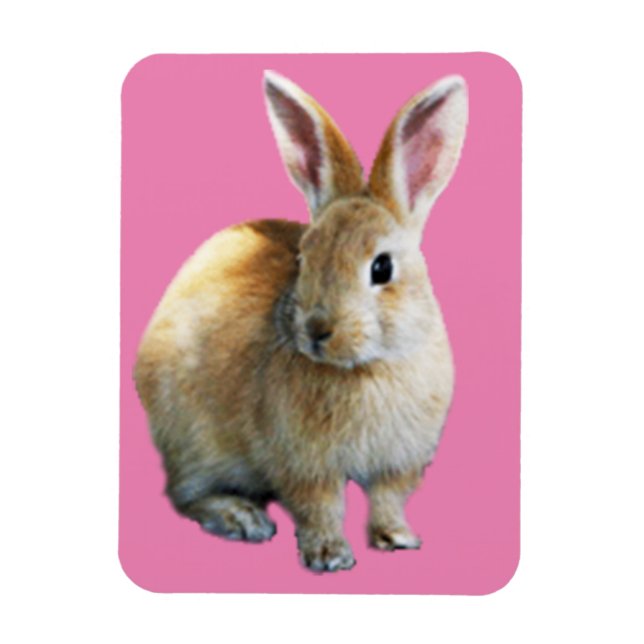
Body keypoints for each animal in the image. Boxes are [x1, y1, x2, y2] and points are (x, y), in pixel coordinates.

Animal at [134, 70, 468, 573]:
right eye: (304, 258)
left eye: (382, 268)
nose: (316, 331)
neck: (366, 369)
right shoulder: (304, 464)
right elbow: (320, 507)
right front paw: (330, 557)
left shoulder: (399, 463)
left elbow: (387, 499)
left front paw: (397, 538)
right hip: (194, 441)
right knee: (185, 494)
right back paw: (241, 517)